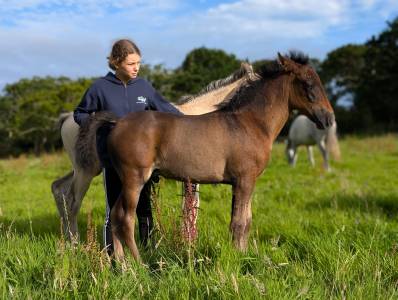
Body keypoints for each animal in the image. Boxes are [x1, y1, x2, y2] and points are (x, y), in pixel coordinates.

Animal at [51, 63, 258, 241]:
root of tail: (68, 118)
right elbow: (190, 207)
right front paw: (188, 240)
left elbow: (190, 207)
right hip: (85, 171)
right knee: (72, 200)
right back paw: (75, 243)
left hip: (82, 169)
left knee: (58, 188)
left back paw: (67, 239)